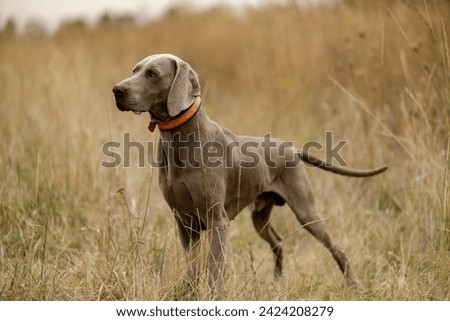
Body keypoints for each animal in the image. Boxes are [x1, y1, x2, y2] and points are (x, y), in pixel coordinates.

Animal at [112, 53, 386, 298]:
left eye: (152, 74)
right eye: (135, 70)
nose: (116, 90)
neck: (179, 136)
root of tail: (292, 148)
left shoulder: (218, 222)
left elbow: (214, 269)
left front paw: (211, 299)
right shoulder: (184, 222)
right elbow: (192, 268)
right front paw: (187, 295)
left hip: (306, 212)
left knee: (336, 247)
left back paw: (354, 285)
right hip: (260, 215)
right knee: (278, 242)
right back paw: (277, 282)